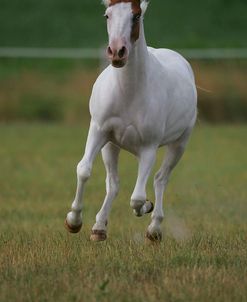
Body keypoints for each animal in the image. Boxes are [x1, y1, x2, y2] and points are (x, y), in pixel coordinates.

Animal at [65, 0, 197, 242]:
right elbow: (84, 170)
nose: (117, 52)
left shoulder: (149, 147)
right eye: (107, 15)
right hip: (111, 145)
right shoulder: (98, 130)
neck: (129, 93)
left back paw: (154, 228)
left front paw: (147, 206)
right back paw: (99, 227)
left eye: (135, 16)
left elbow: (137, 198)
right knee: (113, 184)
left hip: (179, 144)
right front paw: (74, 221)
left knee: (160, 179)